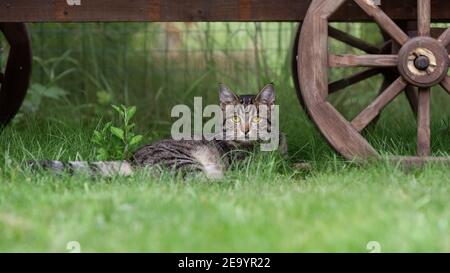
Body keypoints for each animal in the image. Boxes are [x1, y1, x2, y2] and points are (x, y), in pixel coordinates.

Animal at [29, 84, 286, 180]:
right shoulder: (245, 164)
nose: (245, 130)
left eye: (257, 118)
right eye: (234, 118)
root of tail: (130, 159)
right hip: (184, 163)